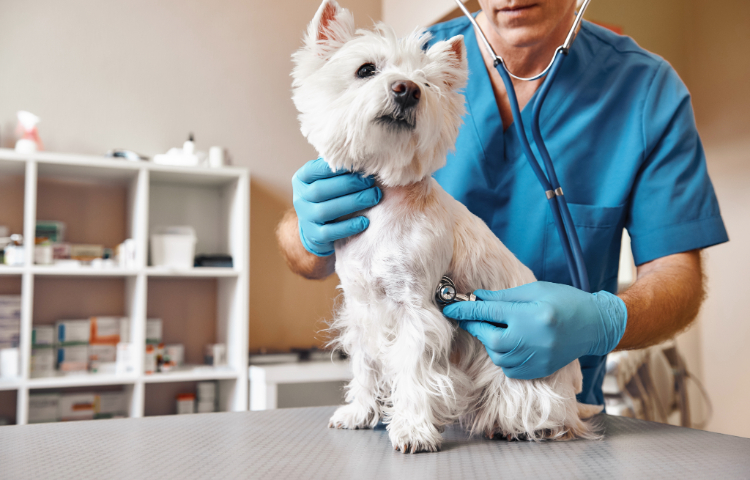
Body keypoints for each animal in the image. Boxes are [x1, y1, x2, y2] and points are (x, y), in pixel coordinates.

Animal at [290, 0, 604, 454]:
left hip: (526, 377)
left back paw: (523, 426)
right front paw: (359, 413)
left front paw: (413, 431)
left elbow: (413, 372)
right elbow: (366, 365)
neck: (386, 200)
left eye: (426, 83)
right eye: (366, 69)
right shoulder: (361, 307)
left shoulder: (418, 308)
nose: (407, 89)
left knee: (547, 411)